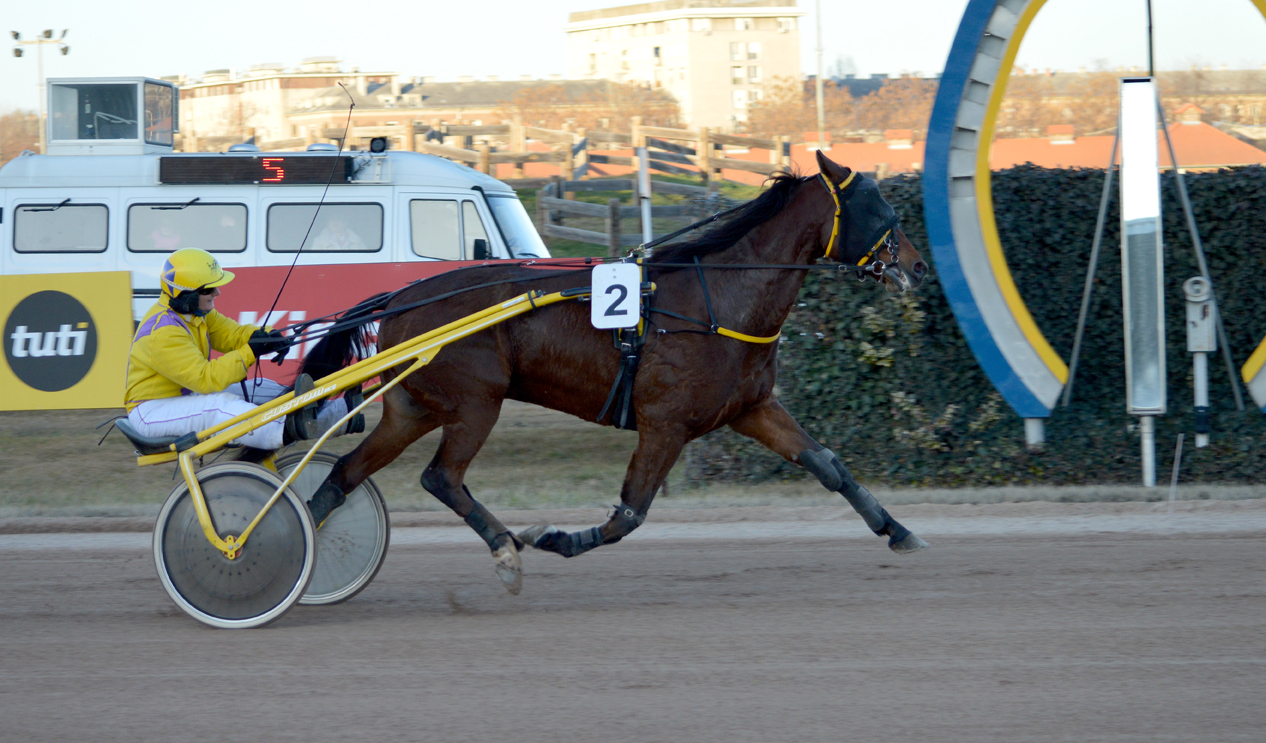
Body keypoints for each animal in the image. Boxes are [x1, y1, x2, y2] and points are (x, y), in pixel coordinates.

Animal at [297, 151, 931, 592]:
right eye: (878, 208)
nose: (919, 267)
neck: (717, 302)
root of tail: (400, 296)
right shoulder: (665, 424)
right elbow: (629, 513)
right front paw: (554, 537)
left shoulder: (752, 408)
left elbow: (828, 465)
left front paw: (899, 532)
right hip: (476, 403)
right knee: (441, 479)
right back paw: (505, 547)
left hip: (414, 409)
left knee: (346, 473)